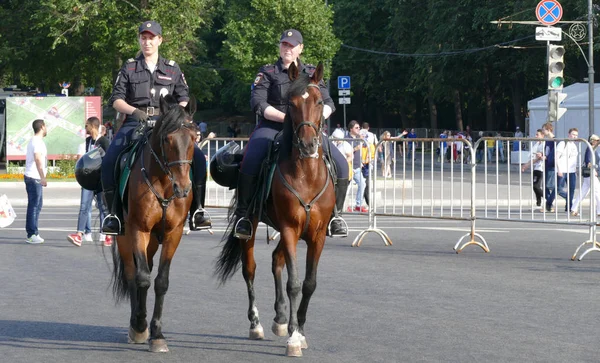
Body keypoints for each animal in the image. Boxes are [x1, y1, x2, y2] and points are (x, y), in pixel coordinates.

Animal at [110, 95, 199, 354]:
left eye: (194, 137)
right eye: (167, 139)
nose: (183, 188)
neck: (164, 183)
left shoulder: (173, 233)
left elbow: (160, 281)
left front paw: (157, 333)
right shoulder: (138, 230)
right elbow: (141, 278)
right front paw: (140, 326)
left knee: (147, 268)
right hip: (124, 237)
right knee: (133, 274)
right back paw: (135, 325)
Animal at [217, 62, 338, 358]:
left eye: (319, 102)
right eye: (291, 104)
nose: (308, 145)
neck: (306, 175)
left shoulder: (316, 235)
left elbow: (308, 283)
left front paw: (299, 330)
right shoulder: (290, 229)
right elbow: (293, 283)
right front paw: (294, 338)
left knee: (275, 261)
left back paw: (281, 319)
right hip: (252, 226)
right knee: (250, 269)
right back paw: (257, 324)